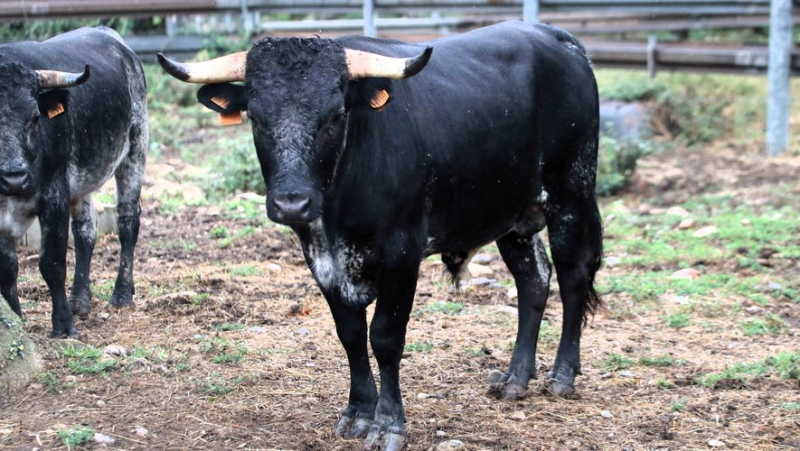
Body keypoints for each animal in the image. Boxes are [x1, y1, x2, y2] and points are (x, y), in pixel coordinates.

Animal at [162, 22, 600, 451]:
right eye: (255, 117)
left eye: (336, 115)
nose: (292, 204)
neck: (336, 210)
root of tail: (555, 37)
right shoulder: (321, 259)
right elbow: (351, 335)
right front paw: (358, 412)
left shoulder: (401, 254)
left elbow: (386, 337)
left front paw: (389, 424)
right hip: (510, 214)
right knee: (533, 281)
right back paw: (515, 378)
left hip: (571, 192)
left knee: (572, 275)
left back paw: (562, 375)